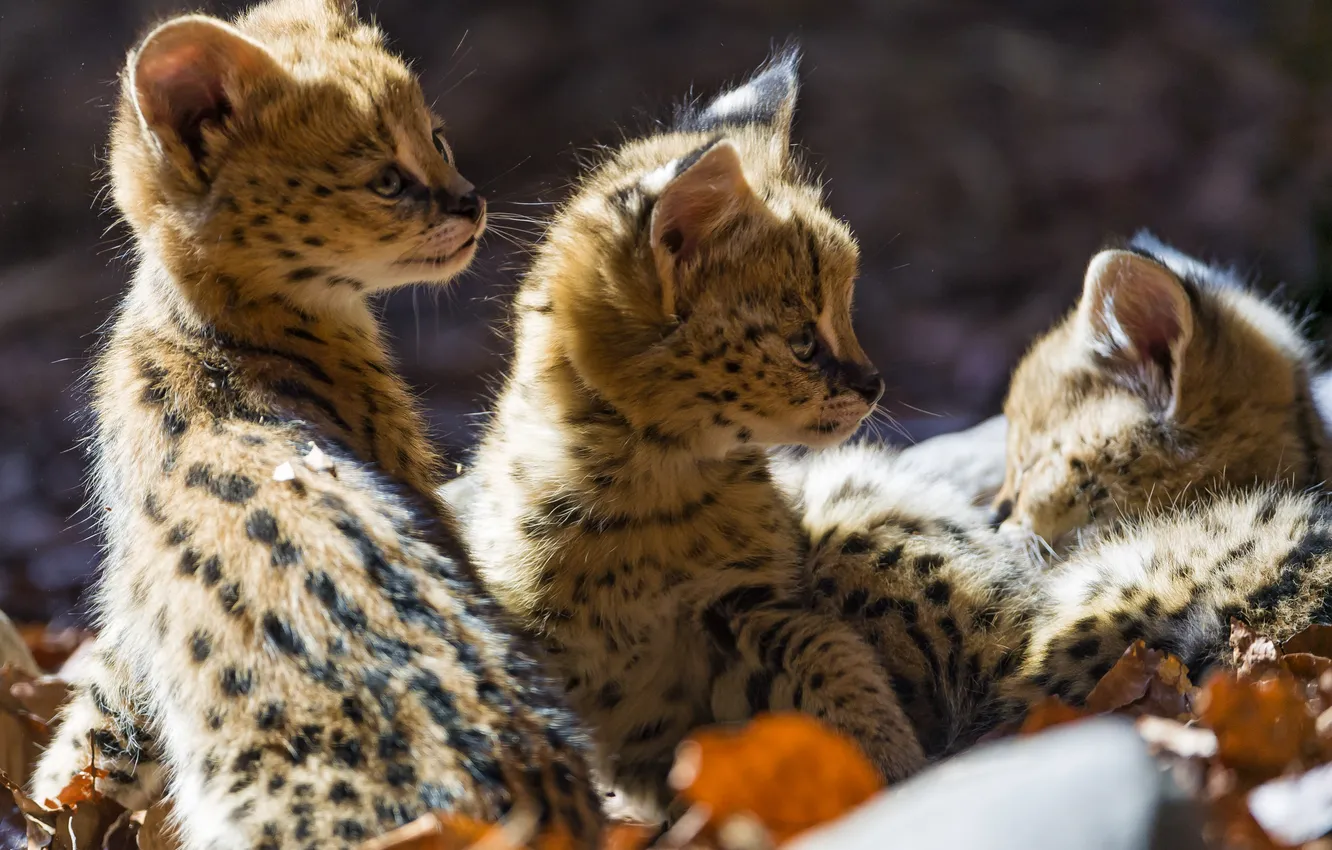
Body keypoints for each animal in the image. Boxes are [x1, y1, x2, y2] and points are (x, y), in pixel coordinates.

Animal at [29, 2, 603, 847]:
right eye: (387, 179)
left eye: (438, 138)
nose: (471, 201)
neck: (214, 335)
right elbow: (101, 714)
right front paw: (52, 802)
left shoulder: (132, 596)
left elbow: (100, 712)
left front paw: (50, 801)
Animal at [461, 50, 924, 820]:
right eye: (804, 343)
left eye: (848, 311)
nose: (875, 385)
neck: (653, 494)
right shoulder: (539, 641)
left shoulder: (750, 607)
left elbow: (835, 663)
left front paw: (897, 766)